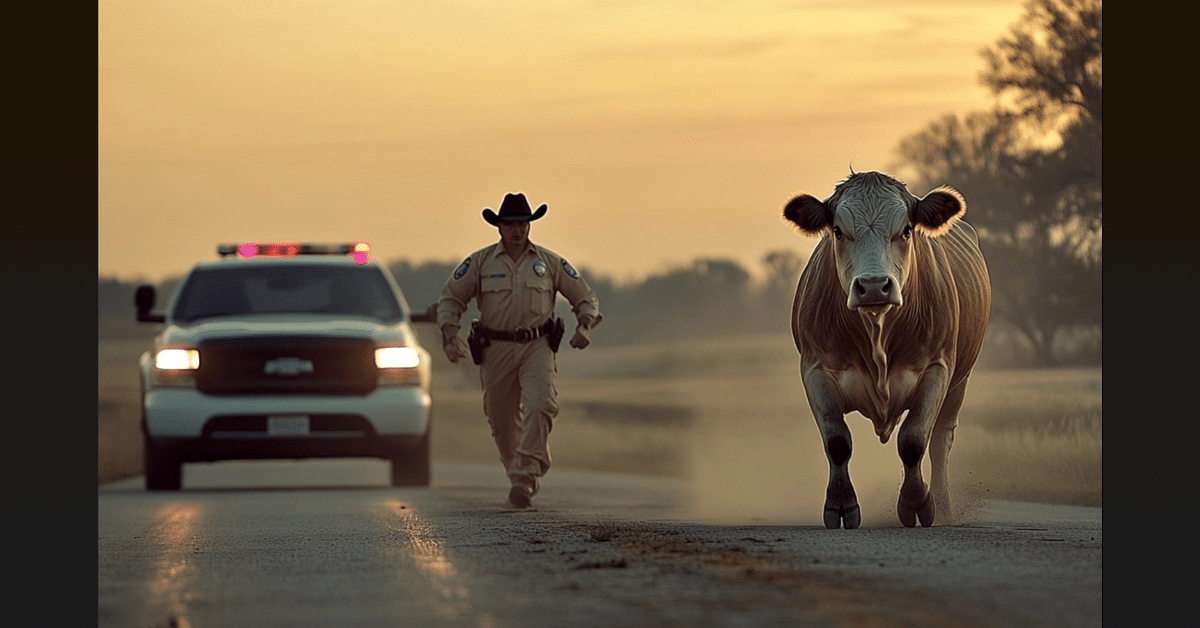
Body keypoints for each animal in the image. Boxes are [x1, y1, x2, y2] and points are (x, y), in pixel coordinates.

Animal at [782, 169, 988, 528]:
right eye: (838, 231)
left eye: (906, 230)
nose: (874, 286)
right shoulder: (815, 369)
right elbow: (837, 441)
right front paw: (840, 505)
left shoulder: (937, 368)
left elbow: (914, 440)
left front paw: (916, 503)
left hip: (959, 383)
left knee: (940, 441)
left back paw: (944, 508)